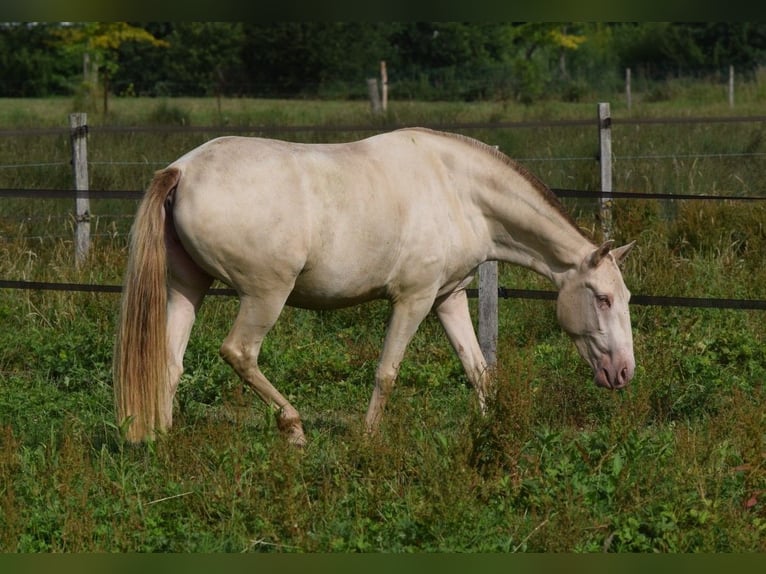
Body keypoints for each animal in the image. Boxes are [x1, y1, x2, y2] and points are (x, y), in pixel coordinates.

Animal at [113, 128, 636, 445]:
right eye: (603, 298)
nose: (623, 373)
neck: (457, 189)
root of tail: (182, 170)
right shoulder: (413, 300)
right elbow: (387, 372)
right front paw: (367, 439)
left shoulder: (448, 298)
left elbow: (477, 369)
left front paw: (490, 430)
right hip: (265, 296)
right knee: (239, 353)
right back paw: (295, 429)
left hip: (188, 288)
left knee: (170, 363)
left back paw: (161, 437)